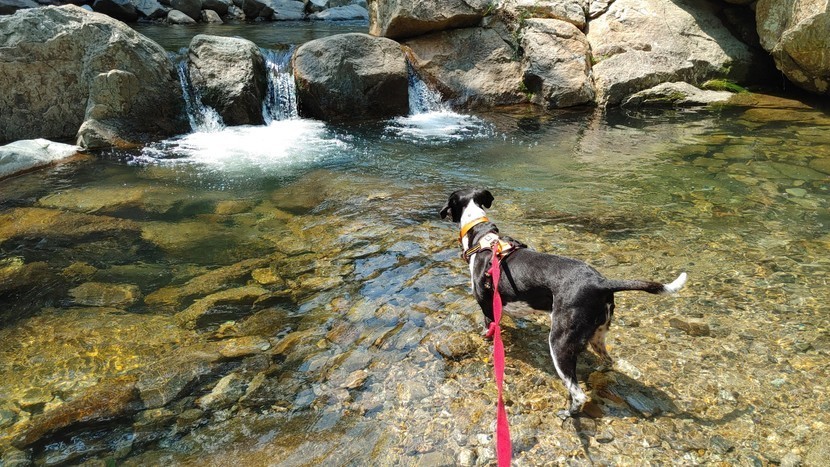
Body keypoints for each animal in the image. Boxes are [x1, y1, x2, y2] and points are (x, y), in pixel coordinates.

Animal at [440, 188, 687, 417]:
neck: (483, 239)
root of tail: (601, 283)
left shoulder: (486, 307)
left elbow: (488, 329)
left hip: (559, 343)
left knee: (578, 393)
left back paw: (569, 413)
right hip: (597, 335)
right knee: (608, 361)